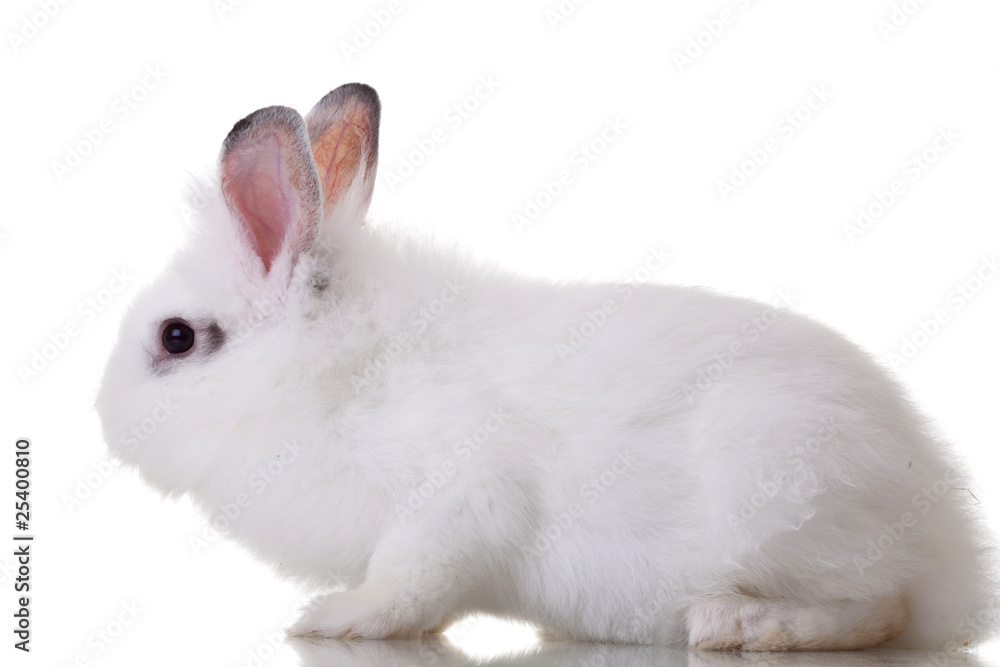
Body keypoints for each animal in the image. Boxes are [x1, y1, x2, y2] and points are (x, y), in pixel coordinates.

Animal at [97, 82, 997, 651]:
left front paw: (337, 617)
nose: (104, 420)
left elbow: (408, 585)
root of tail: (955, 549)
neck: (335, 372)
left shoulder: (454, 505)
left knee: (882, 607)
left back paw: (736, 626)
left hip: (781, 489)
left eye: (176, 339)